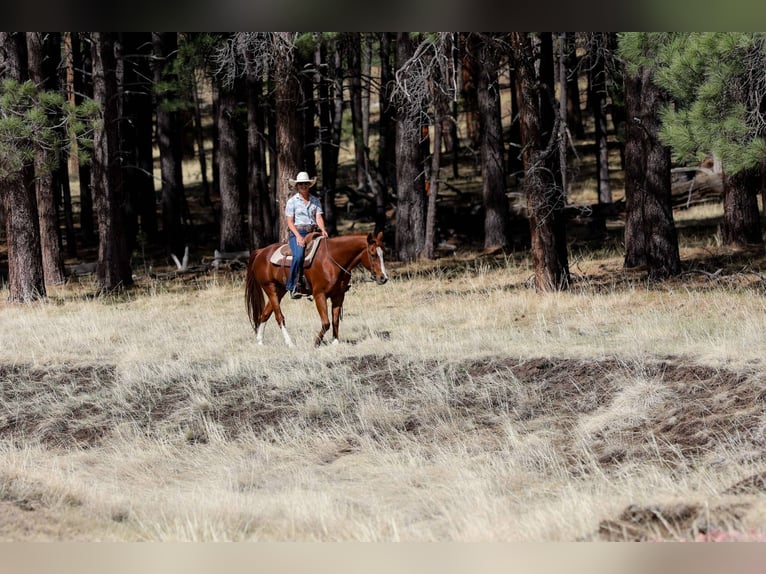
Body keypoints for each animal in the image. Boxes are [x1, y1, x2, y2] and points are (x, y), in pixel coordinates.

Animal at [245, 231, 389, 347]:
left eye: (383, 253)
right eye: (373, 254)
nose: (383, 278)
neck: (332, 260)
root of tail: (261, 252)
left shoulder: (339, 295)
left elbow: (335, 320)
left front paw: (335, 342)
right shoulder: (320, 295)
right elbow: (326, 322)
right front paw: (316, 343)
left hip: (280, 290)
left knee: (265, 314)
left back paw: (260, 341)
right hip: (270, 288)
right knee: (279, 317)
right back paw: (289, 343)